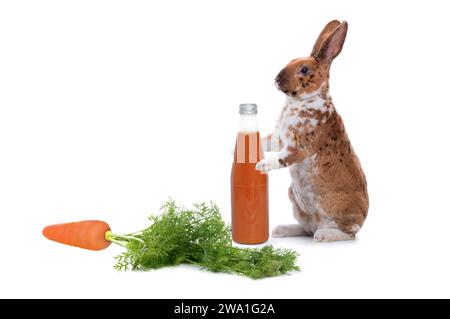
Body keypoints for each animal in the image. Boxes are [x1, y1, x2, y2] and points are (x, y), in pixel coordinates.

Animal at [256, 20, 370, 242]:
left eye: (304, 69)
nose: (276, 79)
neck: (304, 100)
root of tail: (363, 216)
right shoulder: (279, 138)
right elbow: (267, 142)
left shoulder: (298, 147)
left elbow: (281, 158)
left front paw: (261, 165)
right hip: (295, 199)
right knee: (306, 228)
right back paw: (281, 230)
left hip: (335, 206)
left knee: (348, 232)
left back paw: (324, 235)